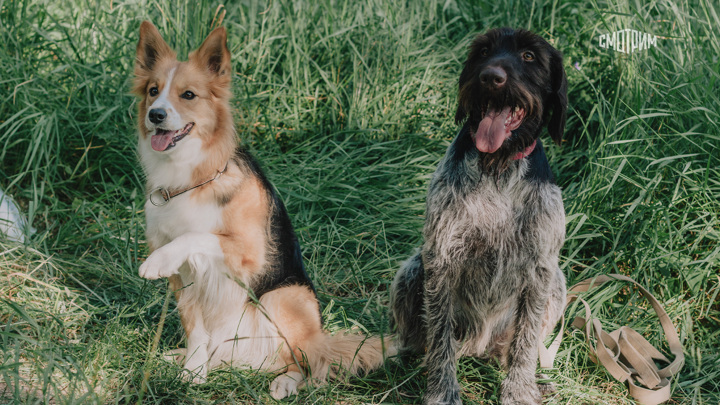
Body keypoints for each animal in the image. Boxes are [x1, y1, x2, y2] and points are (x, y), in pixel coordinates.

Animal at [135, 21, 394, 398]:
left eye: (189, 95)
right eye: (153, 91)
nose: (155, 115)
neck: (195, 177)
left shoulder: (250, 252)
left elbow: (199, 235)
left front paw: (156, 260)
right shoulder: (184, 281)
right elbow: (196, 331)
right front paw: (193, 374)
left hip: (285, 297)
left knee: (306, 362)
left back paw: (286, 381)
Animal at [390, 29, 572, 404]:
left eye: (529, 56)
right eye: (484, 52)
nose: (490, 76)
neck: (498, 167)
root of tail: (479, 346)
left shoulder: (540, 270)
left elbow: (526, 340)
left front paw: (519, 390)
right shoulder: (442, 260)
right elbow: (440, 338)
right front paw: (442, 391)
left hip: (557, 284)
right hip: (413, 270)